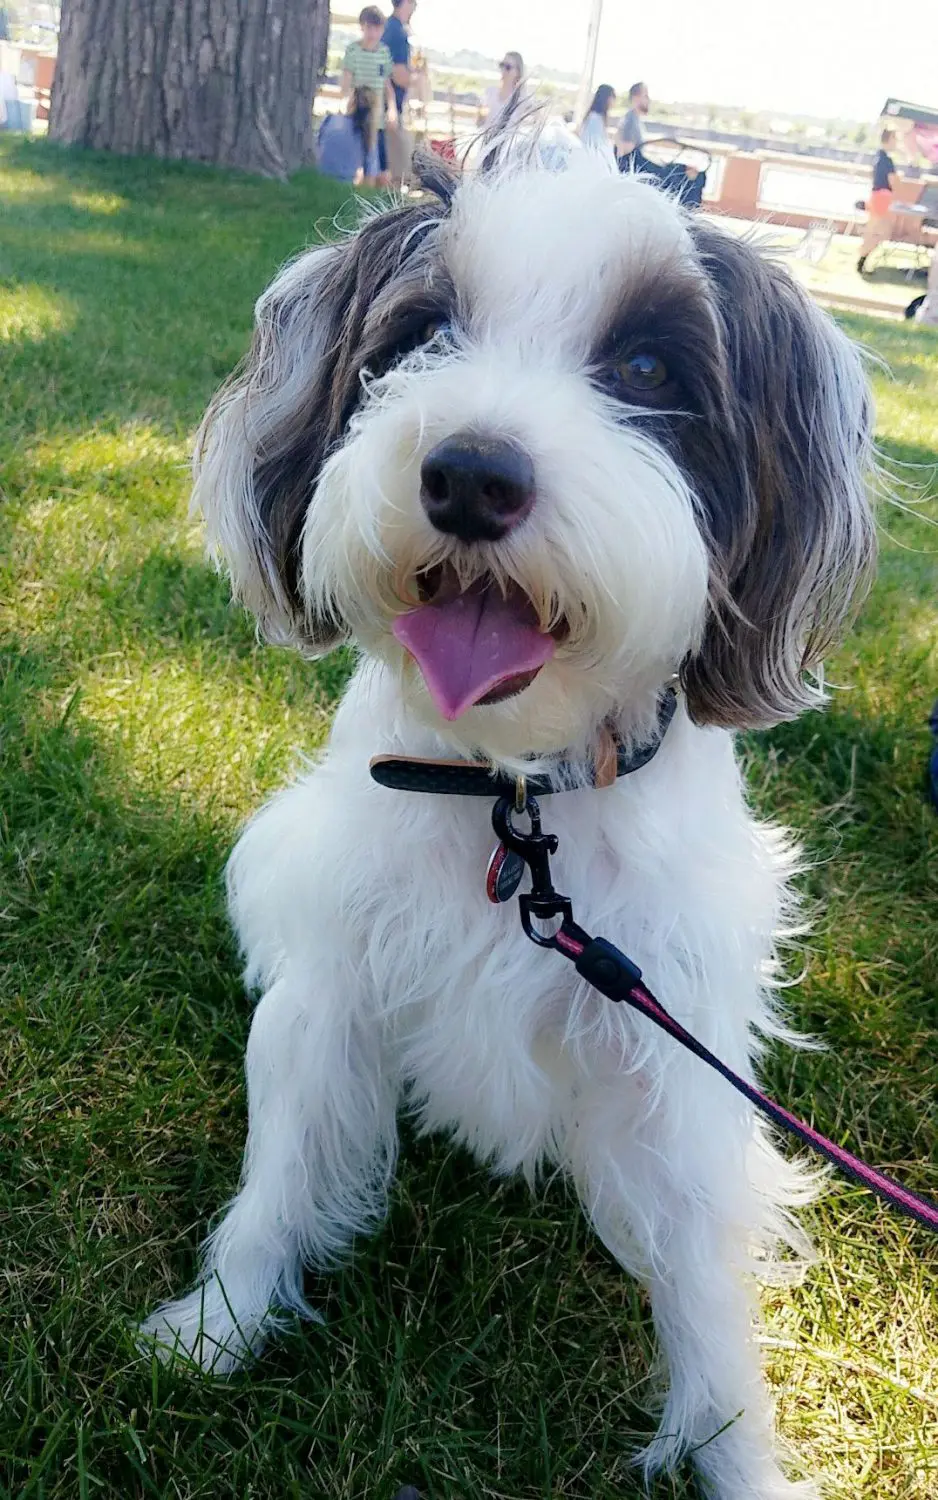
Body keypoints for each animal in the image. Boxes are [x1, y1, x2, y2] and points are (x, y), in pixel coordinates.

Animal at [141, 143, 876, 1500]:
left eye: (645, 371)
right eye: (423, 334)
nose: (472, 475)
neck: (513, 797)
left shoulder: (670, 1043)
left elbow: (701, 1285)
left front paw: (734, 1452)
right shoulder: (335, 981)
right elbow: (281, 1166)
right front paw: (219, 1322)